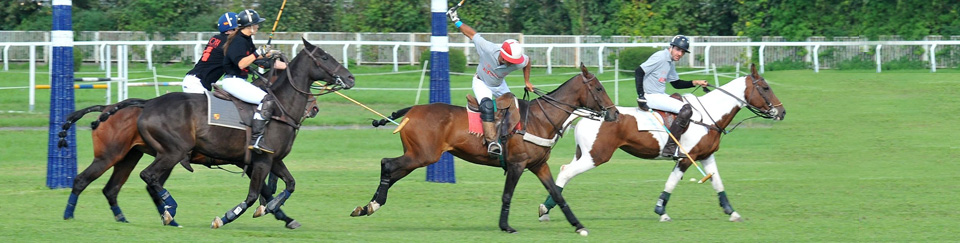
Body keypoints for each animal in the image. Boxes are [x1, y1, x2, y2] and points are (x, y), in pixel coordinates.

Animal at [58, 92, 320, 227]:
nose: (315, 108)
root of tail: (108, 107)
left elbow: (268, 190)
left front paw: (282, 215)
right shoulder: (253, 161)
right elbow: (263, 190)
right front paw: (275, 212)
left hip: (131, 156)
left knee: (114, 188)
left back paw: (132, 217)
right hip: (114, 154)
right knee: (83, 180)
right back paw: (68, 215)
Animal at [129, 38, 350, 230]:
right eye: (324, 57)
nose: (350, 78)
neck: (280, 108)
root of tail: (148, 104)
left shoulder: (273, 159)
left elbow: (289, 184)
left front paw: (281, 214)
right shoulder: (261, 161)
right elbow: (254, 195)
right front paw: (225, 217)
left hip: (167, 154)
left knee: (151, 180)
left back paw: (167, 214)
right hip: (173, 152)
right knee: (148, 175)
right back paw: (170, 210)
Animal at [350, 64, 616, 235]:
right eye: (599, 88)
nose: (614, 114)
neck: (540, 119)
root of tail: (412, 110)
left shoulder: (539, 165)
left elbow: (558, 195)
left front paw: (578, 225)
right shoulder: (517, 165)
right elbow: (507, 195)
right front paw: (506, 226)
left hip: (417, 155)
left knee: (392, 171)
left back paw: (369, 206)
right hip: (422, 155)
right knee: (387, 163)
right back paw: (370, 206)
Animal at [536, 63, 784, 223]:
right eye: (765, 88)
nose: (782, 112)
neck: (710, 116)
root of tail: (588, 114)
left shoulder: (706, 155)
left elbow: (717, 182)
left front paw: (731, 212)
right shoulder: (686, 158)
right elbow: (672, 183)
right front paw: (661, 211)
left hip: (583, 153)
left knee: (563, 171)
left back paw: (547, 208)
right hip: (597, 155)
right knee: (566, 172)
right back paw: (545, 209)